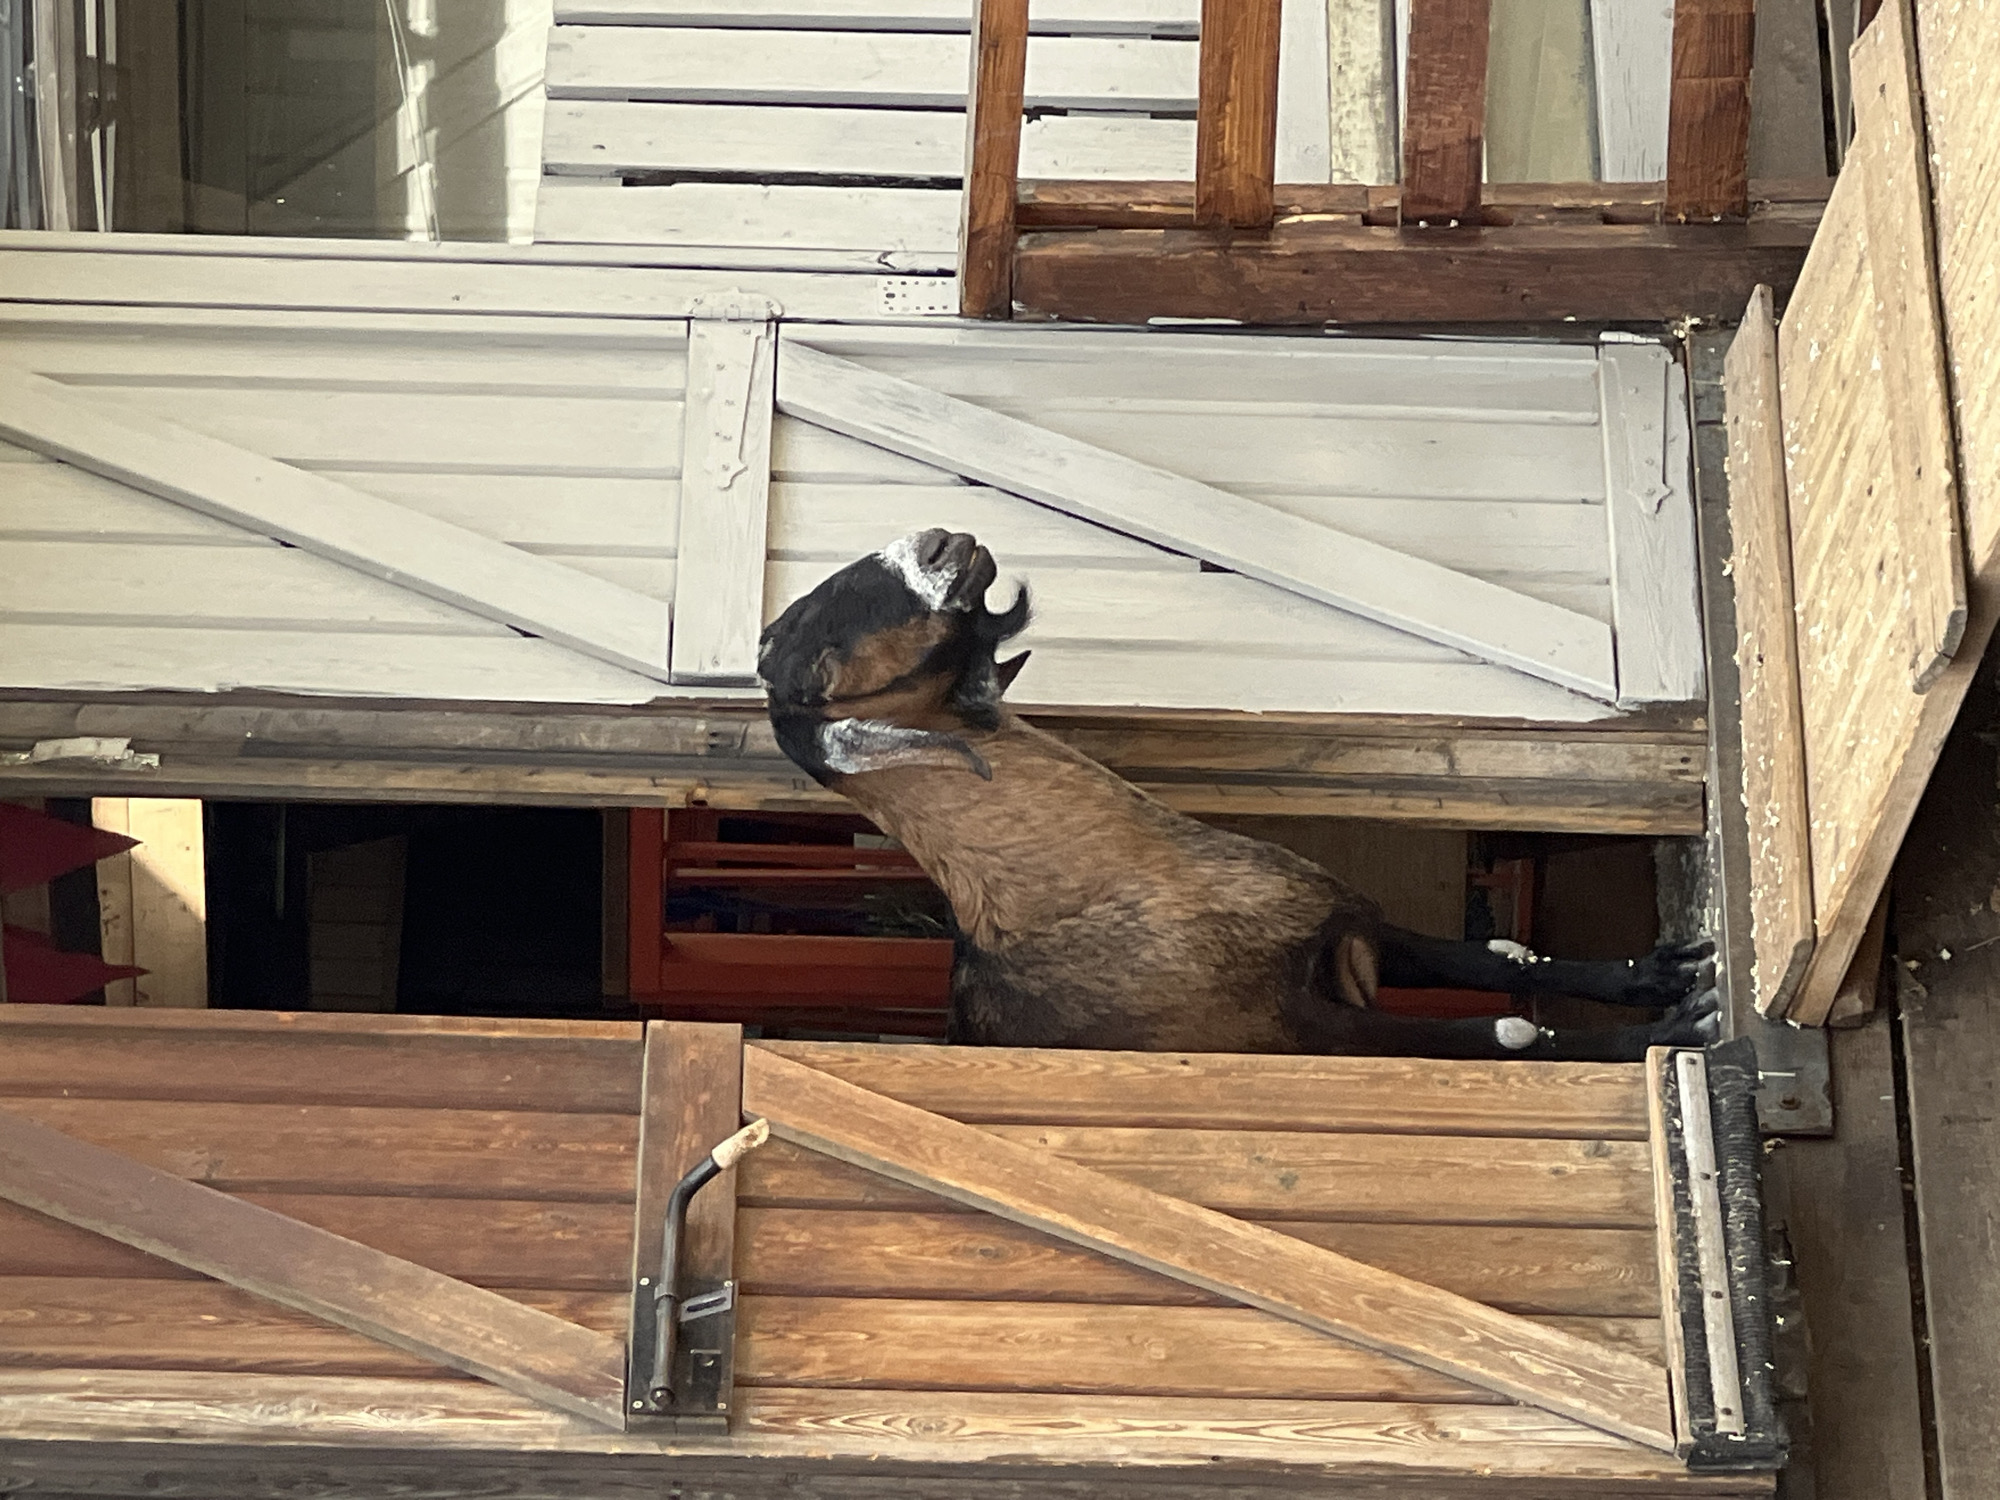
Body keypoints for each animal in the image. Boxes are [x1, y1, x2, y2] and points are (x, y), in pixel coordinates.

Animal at [757, 529, 1720, 1062]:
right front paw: (1670, 1033)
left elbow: (1499, 958)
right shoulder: (1305, 1032)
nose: (938, 543)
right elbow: (1503, 1035)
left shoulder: (1347, 929)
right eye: (816, 665)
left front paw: (1665, 976)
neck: (1100, 886)